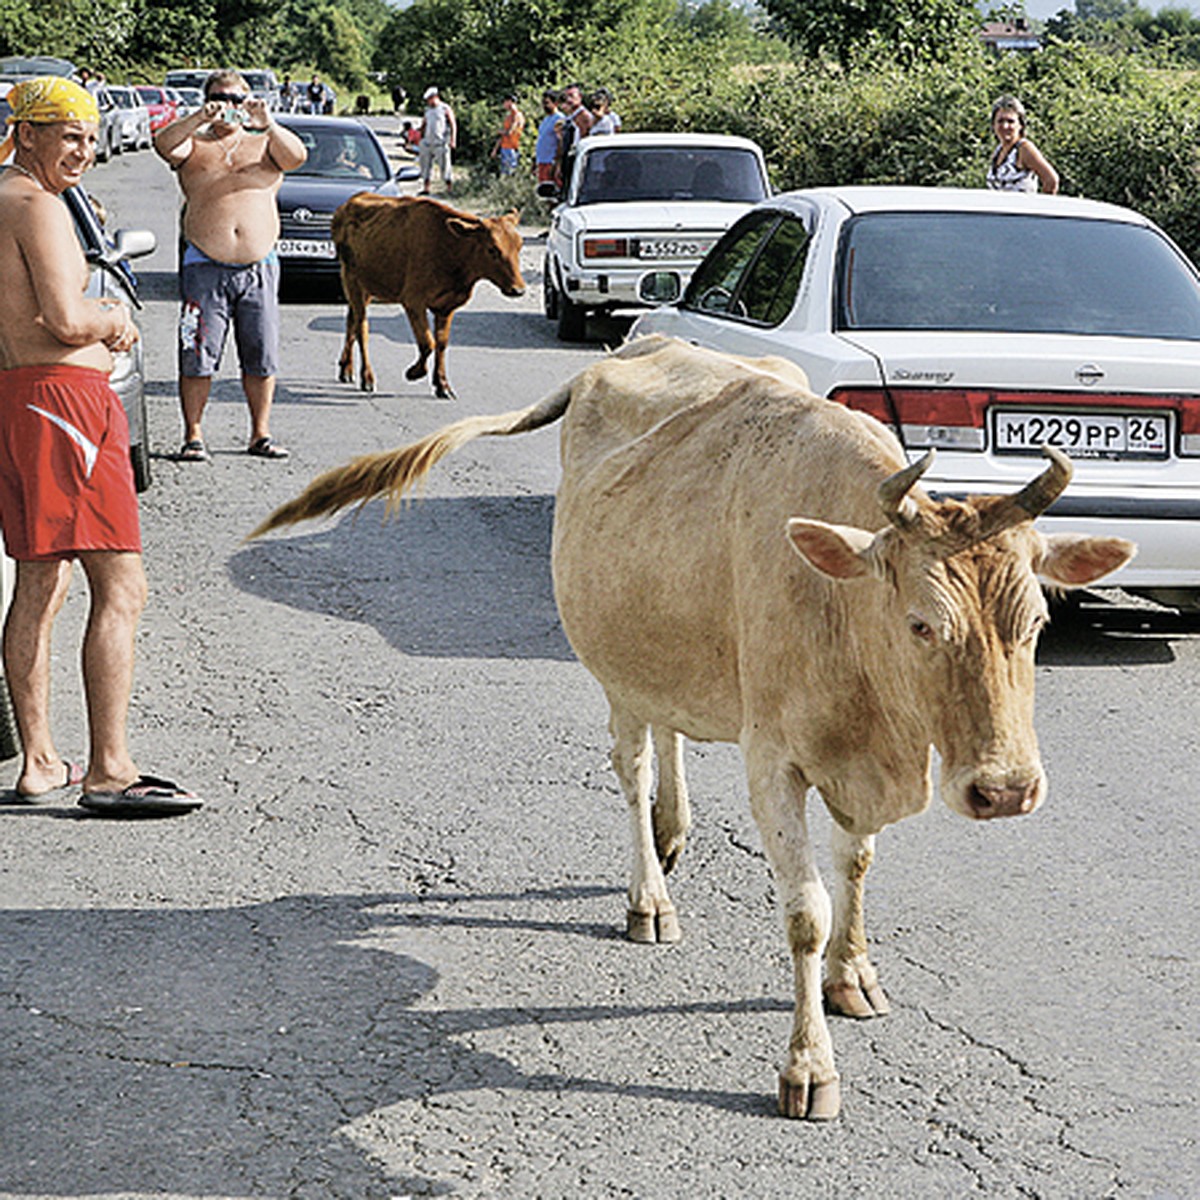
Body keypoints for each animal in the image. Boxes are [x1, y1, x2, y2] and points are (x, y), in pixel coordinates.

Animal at [253, 340, 1132, 1123]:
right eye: (921, 625)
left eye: (1038, 620)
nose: (1006, 789)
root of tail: (634, 346)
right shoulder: (774, 761)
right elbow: (805, 912)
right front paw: (809, 1067)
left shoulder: (862, 763)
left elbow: (856, 867)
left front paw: (853, 975)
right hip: (610, 661)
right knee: (633, 764)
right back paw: (650, 894)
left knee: (668, 730)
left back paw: (673, 832)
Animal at [336, 193, 528, 398]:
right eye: (492, 249)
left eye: (519, 246)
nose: (518, 289)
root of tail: (352, 200)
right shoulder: (413, 301)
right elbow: (428, 343)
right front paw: (414, 372)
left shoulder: (447, 307)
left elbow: (441, 343)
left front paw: (442, 384)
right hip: (351, 280)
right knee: (361, 328)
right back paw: (367, 377)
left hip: (366, 287)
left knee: (351, 323)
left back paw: (346, 369)